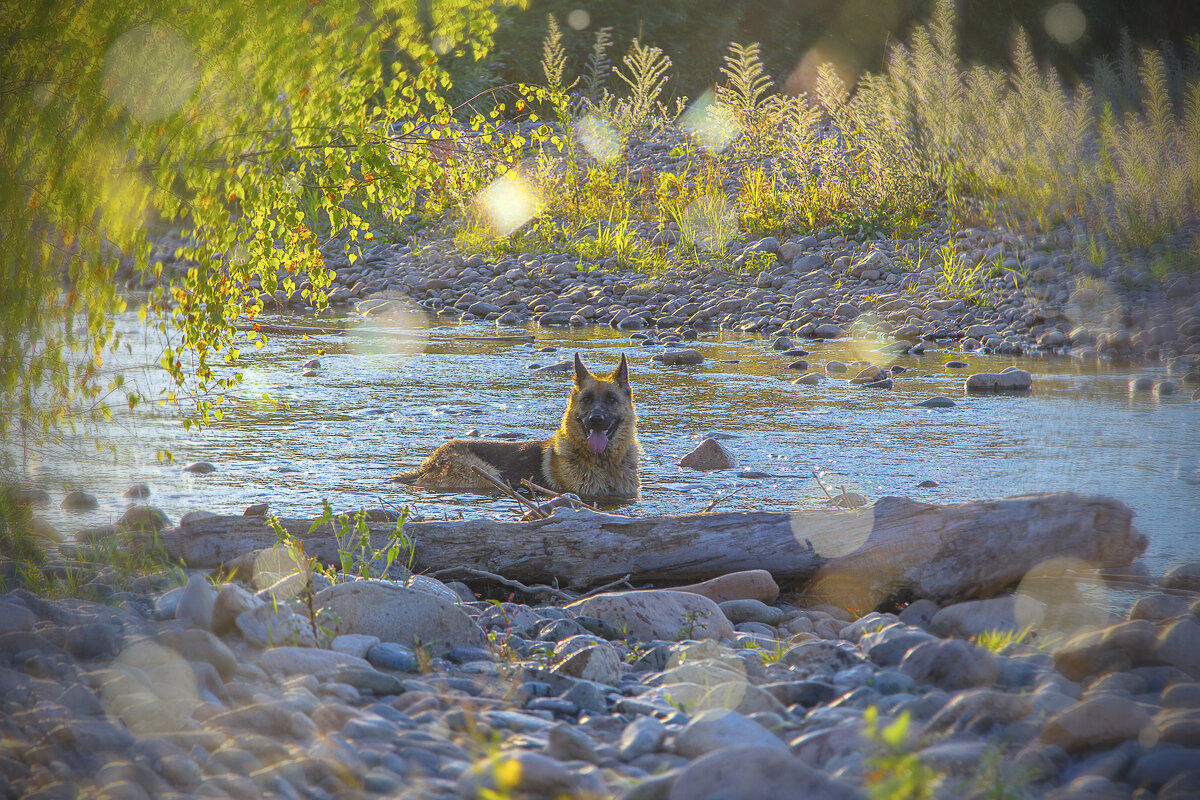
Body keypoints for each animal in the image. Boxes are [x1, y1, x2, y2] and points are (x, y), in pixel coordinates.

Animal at [391, 352, 638, 496]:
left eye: (611, 399)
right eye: (587, 399)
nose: (596, 420)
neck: (603, 463)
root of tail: (427, 464)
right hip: (484, 474)